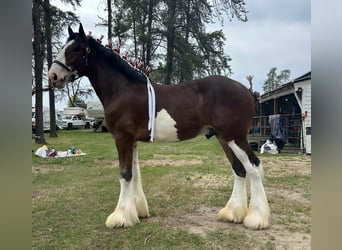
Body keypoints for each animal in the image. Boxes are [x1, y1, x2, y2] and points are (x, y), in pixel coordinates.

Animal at [47, 24, 270, 229]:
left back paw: (256, 219)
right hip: (224, 138)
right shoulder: (131, 140)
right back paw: (232, 214)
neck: (122, 90)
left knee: (253, 168)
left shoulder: (122, 138)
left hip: (235, 138)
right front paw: (136, 211)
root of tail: (246, 90)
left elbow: (125, 174)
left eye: (76, 49)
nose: (53, 76)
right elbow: (134, 173)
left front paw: (120, 217)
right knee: (239, 170)